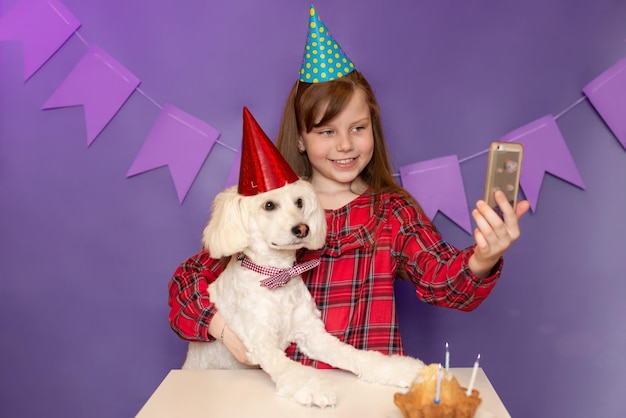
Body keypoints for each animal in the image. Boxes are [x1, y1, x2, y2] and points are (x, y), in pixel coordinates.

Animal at [180, 180, 424, 408]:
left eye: (299, 202)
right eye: (269, 205)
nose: (303, 229)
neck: (277, 275)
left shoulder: (313, 335)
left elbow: (353, 354)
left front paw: (398, 369)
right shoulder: (263, 344)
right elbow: (291, 369)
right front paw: (315, 388)